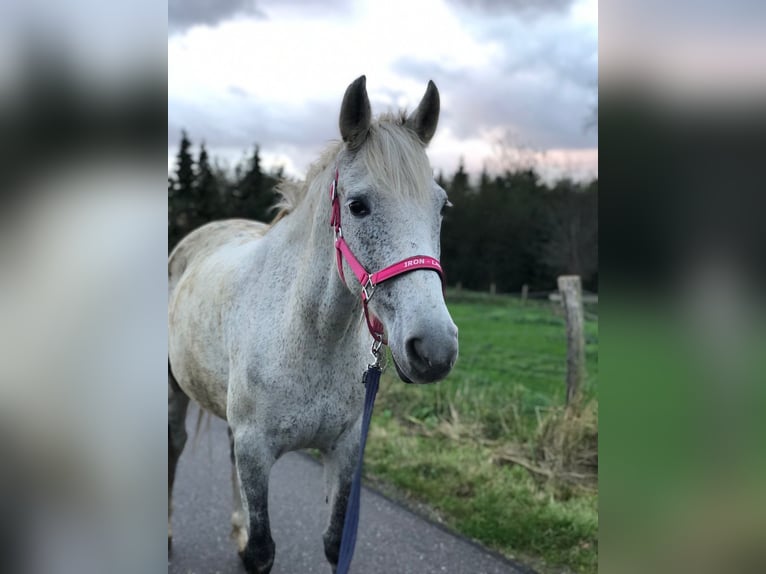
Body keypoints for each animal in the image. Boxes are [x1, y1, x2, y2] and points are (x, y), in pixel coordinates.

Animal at [170, 76, 456, 574]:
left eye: (441, 207)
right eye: (358, 206)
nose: (434, 348)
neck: (310, 336)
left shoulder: (344, 451)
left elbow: (334, 542)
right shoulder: (256, 450)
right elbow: (262, 552)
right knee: (174, 446)